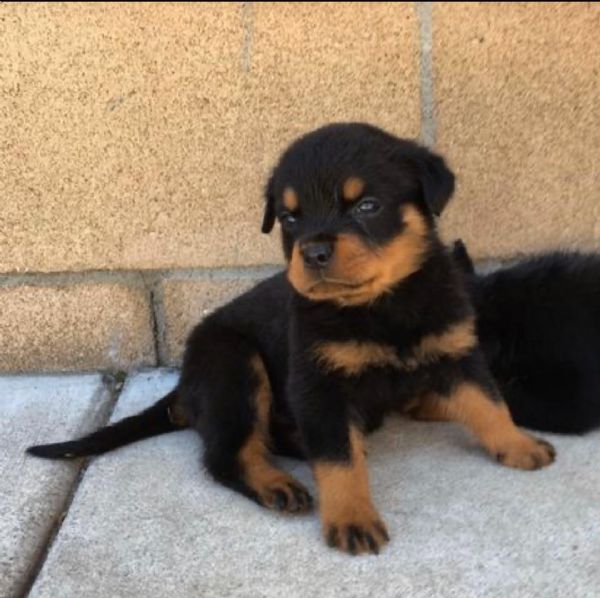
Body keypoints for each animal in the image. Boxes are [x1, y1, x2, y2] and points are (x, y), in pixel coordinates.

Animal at [27, 125, 552, 556]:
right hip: (234, 364)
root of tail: (184, 388)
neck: (382, 305)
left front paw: (518, 444)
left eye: (367, 206)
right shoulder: (319, 385)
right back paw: (276, 484)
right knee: (227, 454)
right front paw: (352, 518)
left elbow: (489, 403)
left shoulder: (456, 350)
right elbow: (338, 459)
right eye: (289, 218)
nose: (314, 252)